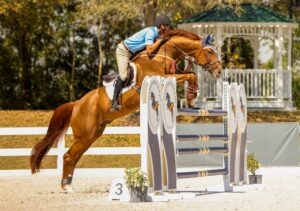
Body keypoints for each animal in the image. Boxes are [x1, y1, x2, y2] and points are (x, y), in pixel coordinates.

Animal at [30, 28, 221, 193]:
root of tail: (76, 104)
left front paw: (192, 95)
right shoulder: (163, 78)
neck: (160, 56)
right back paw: (66, 187)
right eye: (210, 52)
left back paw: (68, 184)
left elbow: (191, 75)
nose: (219, 71)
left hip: (91, 135)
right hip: (85, 134)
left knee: (73, 157)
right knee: (68, 157)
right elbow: (189, 75)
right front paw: (191, 95)